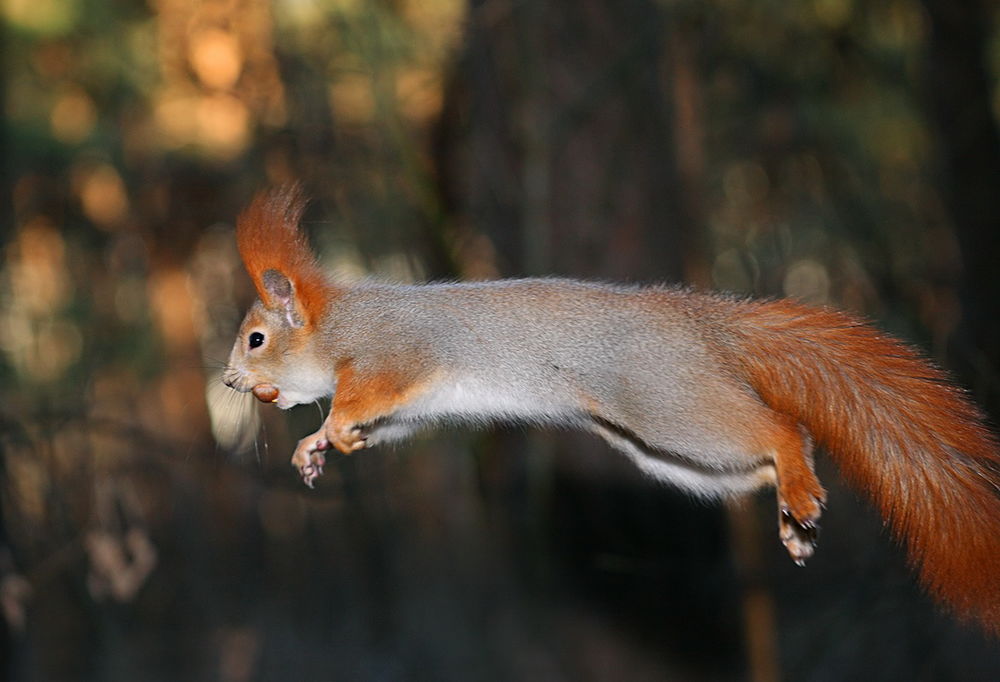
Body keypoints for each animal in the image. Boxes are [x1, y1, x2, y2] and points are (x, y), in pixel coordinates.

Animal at [224, 185, 1000, 635]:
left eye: (256, 338)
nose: (230, 382)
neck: (337, 325)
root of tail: (702, 325)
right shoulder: (410, 407)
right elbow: (385, 423)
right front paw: (314, 448)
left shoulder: (395, 355)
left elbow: (366, 395)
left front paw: (326, 427)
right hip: (668, 452)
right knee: (754, 465)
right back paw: (787, 510)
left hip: (667, 404)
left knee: (783, 428)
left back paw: (798, 484)